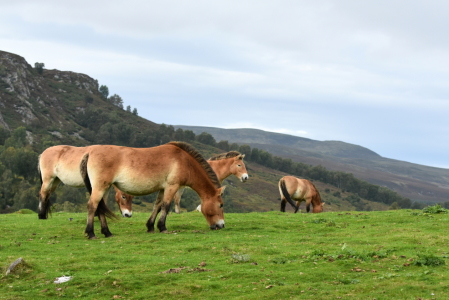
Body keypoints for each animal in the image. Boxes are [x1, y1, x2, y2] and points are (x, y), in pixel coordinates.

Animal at [77, 141, 226, 239]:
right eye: (221, 205)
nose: (221, 225)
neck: (184, 161)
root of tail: (89, 153)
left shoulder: (162, 188)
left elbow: (157, 206)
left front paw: (150, 226)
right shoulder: (172, 186)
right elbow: (166, 206)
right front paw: (162, 227)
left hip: (105, 187)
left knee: (100, 207)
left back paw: (107, 232)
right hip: (100, 187)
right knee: (92, 206)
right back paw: (91, 233)